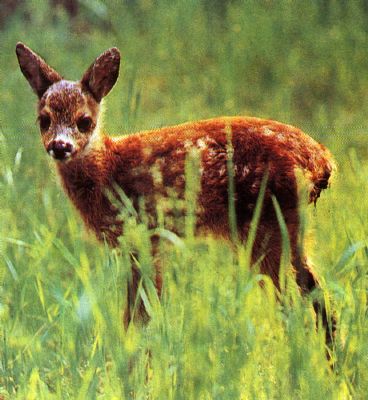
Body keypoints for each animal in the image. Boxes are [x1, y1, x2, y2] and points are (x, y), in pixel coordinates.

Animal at [15, 43, 334, 332]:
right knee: (316, 294)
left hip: (265, 225)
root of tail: (322, 162)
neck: (107, 169)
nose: (60, 146)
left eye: (84, 121)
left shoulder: (146, 236)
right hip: (289, 228)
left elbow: (141, 316)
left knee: (292, 305)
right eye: (44, 120)